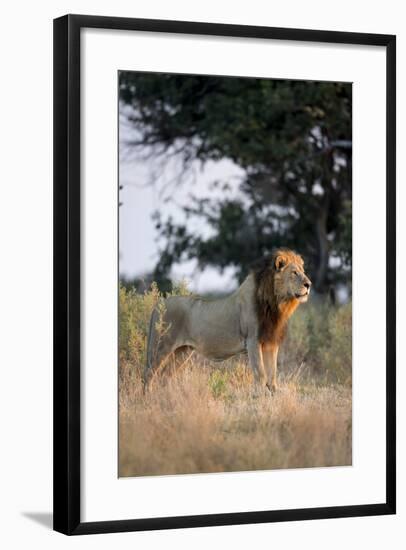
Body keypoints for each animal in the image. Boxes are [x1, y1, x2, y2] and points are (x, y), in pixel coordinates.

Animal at [144, 248, 312, 394]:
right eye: (294, 273)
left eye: (303, 272)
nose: (309, 284)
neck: (276, 303)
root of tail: (158, 305)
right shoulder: (253, 341)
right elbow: (261, 373)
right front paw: (259, 396)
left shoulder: (270, 342)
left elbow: (272, 374)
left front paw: (273, 394)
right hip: (161, 347)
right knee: (149, 374)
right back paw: (149, 397)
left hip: (182, 352)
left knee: (165, 376)